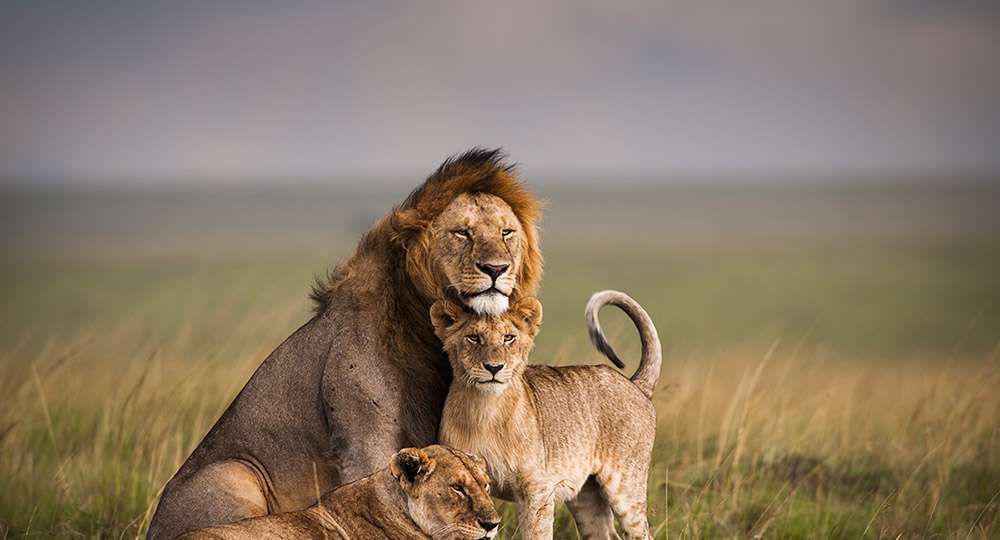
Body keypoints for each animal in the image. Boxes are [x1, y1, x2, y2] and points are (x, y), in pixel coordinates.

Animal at [430, 291, 661, 540]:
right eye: (473, 338)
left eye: (508, 338)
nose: (494, 367)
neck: (484, 410)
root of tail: (635, 384)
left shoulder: (537, 489)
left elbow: (536, 533)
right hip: (586, 496)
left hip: (626, 484)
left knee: (641, 532)